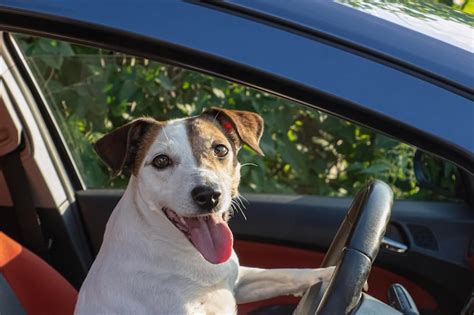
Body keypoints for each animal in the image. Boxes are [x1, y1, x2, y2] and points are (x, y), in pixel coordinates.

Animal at [75, 107, 334, 314]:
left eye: (220, 149)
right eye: (161, 161)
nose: (208, 195)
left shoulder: (237, 280)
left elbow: (288, 273)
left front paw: (331, 272)